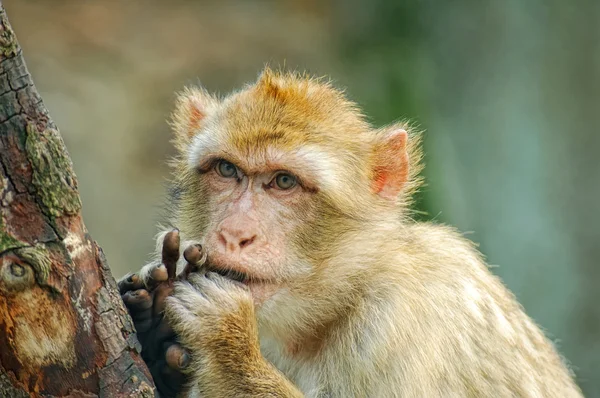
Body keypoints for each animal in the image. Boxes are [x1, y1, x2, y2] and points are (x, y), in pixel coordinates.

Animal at [119, 69, 584, 398]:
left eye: (284, 182)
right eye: (227, 170)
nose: (235, 233)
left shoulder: (399, 321)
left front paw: (229, 344)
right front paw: (154, 329)